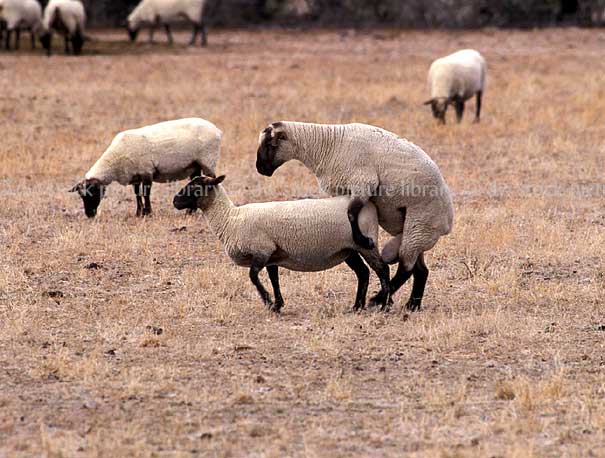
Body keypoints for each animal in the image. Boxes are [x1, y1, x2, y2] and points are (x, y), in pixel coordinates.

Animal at [70, 118, 221, 218]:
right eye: (81, 196)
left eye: (93, 193)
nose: (89, 215)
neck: (115, 160)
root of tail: (217, 130)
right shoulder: (135, 176)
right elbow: (137, 194)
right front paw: (138, 213)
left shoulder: (146, 172)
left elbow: (146, 193)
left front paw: (148, 213)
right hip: (195, 165)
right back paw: (190, 212)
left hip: (208, 161)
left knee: (211, 180)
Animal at [172, 174, 390, 312]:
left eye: (196, 187)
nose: (175, 201)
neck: (231, 219)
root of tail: (369, 205)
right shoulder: (272, 255)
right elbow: (274, 279)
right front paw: (278, 305)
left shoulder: (262, 250)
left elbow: (253, 277)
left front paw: (268, 301)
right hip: (348, 249)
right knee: (363, 273)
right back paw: (357, 306)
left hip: (366, 244)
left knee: (382, 270)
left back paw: (384, 305)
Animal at [255, 121, 452, 314]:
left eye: (269, 144)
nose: (260, 169)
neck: (326, 145)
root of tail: (448, 222)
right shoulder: (344, 191)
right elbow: (347, 216)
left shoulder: (363, 183)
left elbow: (351, 214)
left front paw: (363, 240)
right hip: (415, 230)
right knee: (421, 270)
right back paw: (411, 305)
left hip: (420, 223)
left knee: (406, 268)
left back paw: (378, 300)